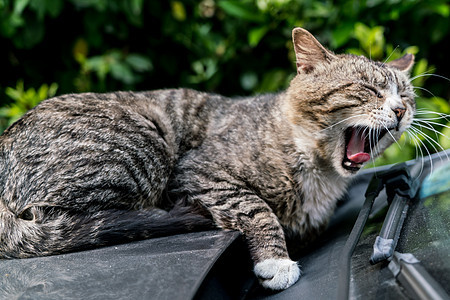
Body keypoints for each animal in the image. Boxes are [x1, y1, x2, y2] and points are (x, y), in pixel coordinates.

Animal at [0, 28, 414, 290]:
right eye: (369, 89)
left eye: (406, 96)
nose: (399, 111)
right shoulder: (199, 171)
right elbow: (256, 207)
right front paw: (276, 261)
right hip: (143, 143)